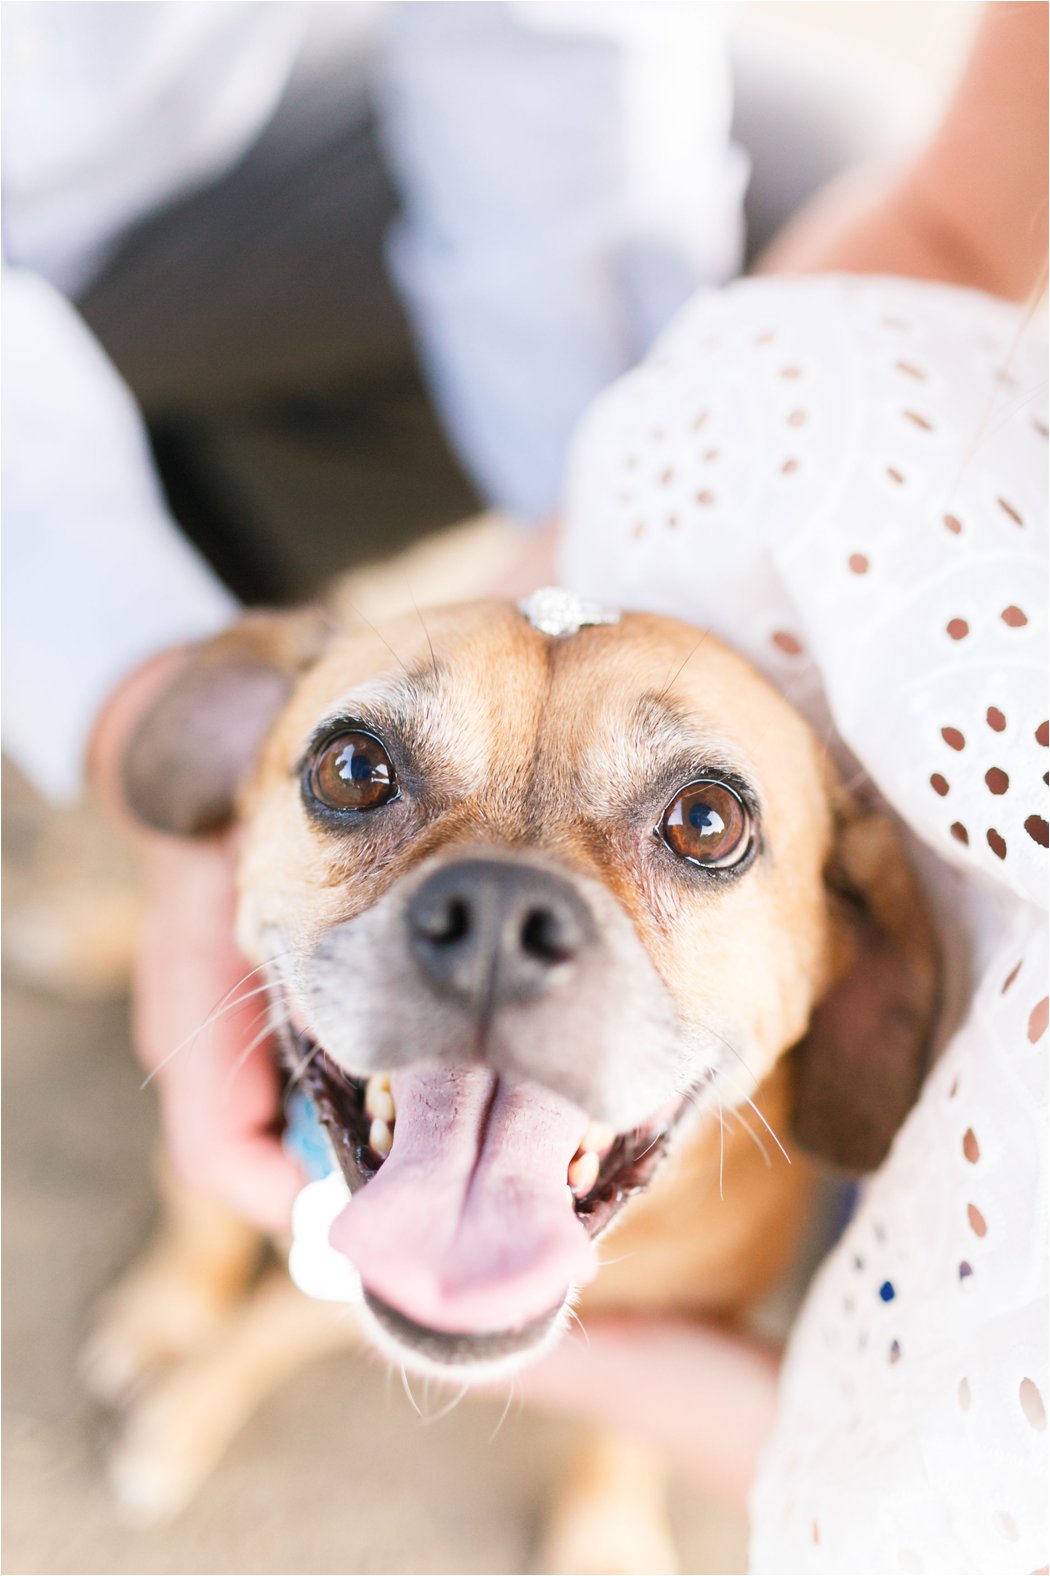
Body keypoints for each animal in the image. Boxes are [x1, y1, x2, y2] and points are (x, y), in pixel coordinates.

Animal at [81, 586, 933, 1569]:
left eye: (707, 820)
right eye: (352, 768)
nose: (496, 917)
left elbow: (616, 1435)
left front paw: (604, 1536)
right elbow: (213, 1238)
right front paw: (173, 1349)